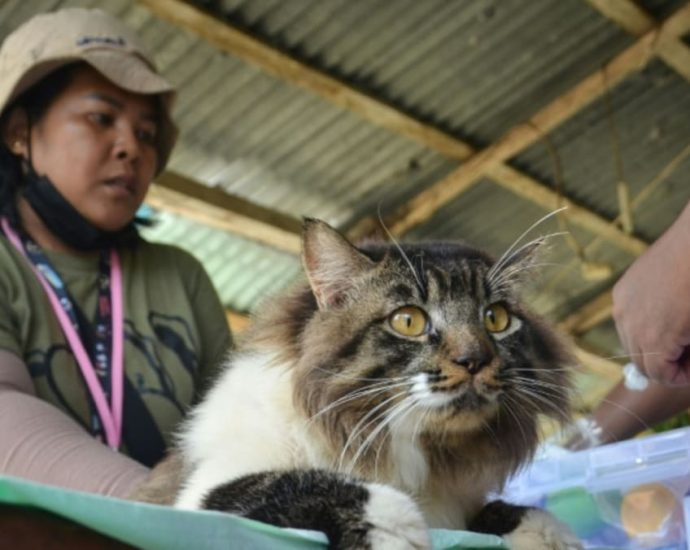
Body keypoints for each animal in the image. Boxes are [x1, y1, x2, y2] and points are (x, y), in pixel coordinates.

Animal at [159, 221, 576, 550]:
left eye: (496, 319)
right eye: (408, 321)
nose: (474, 360)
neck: (408, 452)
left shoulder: (459, 508)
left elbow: (515, 511)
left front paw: (553, 538)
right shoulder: (205, 490)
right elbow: (310, 482)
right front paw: (397, 533)